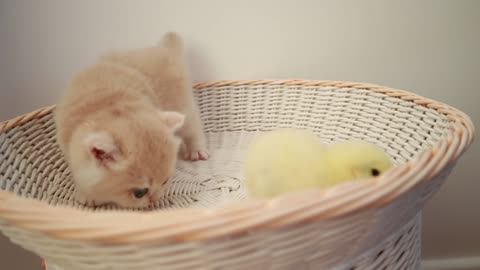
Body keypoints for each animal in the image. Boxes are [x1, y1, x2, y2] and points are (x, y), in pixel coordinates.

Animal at [54, 32, 208, 209]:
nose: (155, 199)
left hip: (182, 103)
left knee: (193, 127)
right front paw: (86, 194)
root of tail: (163, 49)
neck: (108, 105)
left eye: (165, 182)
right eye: (139, 193)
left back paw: (197, 150)